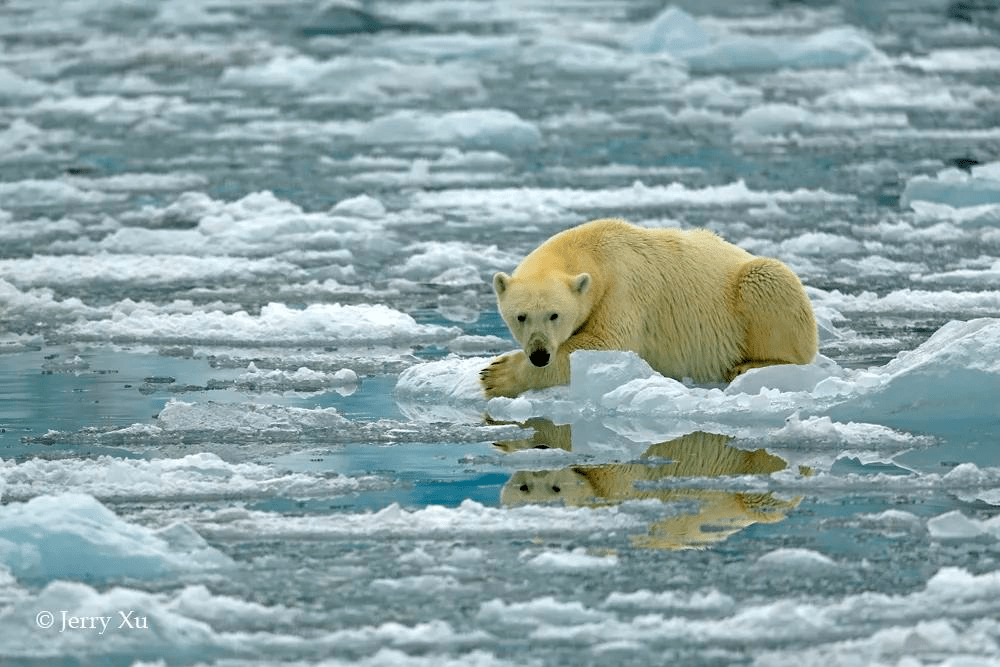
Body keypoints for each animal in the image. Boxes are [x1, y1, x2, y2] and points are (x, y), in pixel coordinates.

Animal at [480, 218, 816, 396]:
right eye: (520, 316)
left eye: (555, 315)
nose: (539, 355)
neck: (591, 249)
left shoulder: (624, 288)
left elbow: (608, 342)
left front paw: (496, 374)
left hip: (750, 286)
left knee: (768, 281)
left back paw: (750, 365)